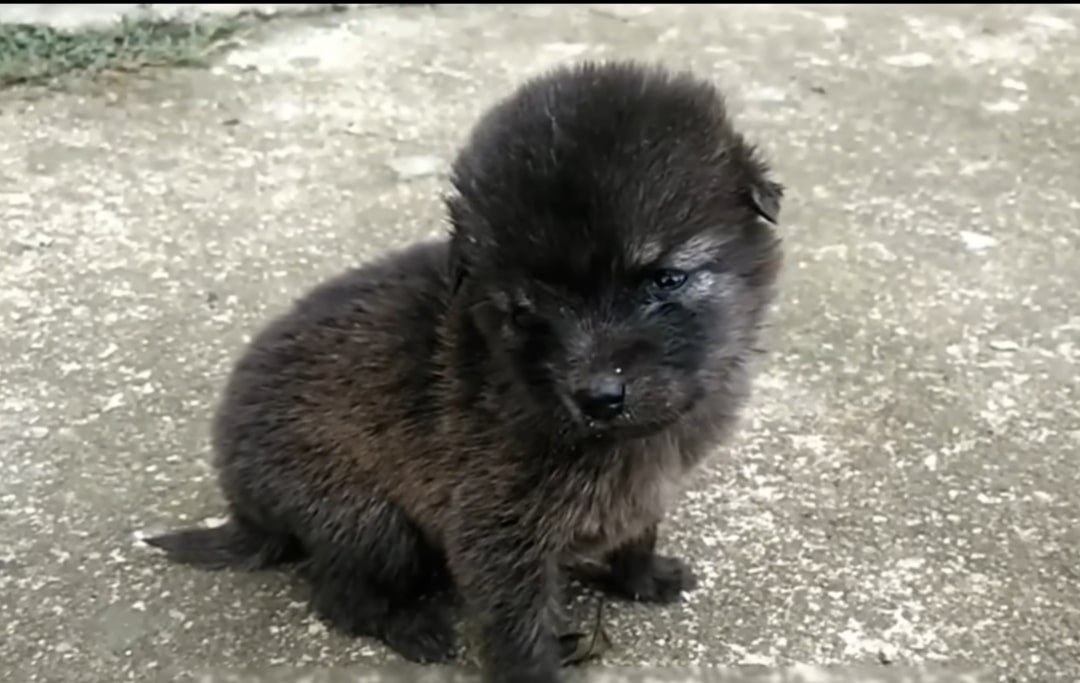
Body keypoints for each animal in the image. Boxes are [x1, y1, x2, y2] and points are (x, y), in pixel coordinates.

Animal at [145, 59, 786, 683]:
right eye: (525, 311)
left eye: (665, 279)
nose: (598, 396)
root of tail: (244, 508)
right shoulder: (496, 527)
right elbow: (517, 630)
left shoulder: (644, 492)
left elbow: (638, 532)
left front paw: (642, 577)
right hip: (365, 520)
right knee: (338, 595)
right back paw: (408, 626)